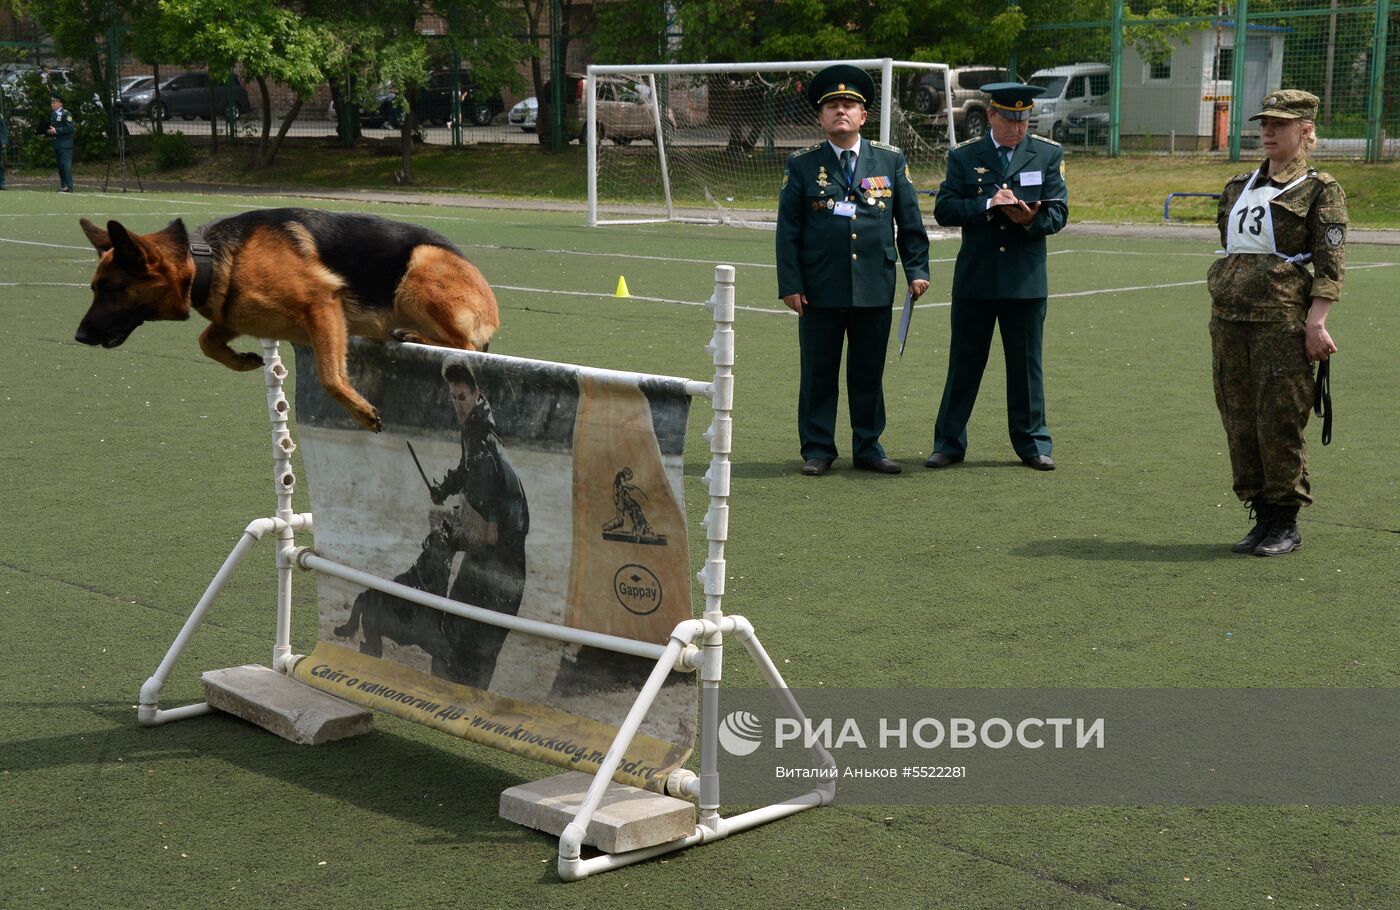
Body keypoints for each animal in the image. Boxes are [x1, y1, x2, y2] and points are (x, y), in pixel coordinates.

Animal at [76, 207, 501, 431]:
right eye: (95, 288)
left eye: (111, 290)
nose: (79, 337)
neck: (207, 259)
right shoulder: (237, 314)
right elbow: (206, 340)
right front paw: (243, 361)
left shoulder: (323, 305)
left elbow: (330, 377)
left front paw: (361, 411)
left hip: (417, 269)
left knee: (467, 346)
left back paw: (411, 334)